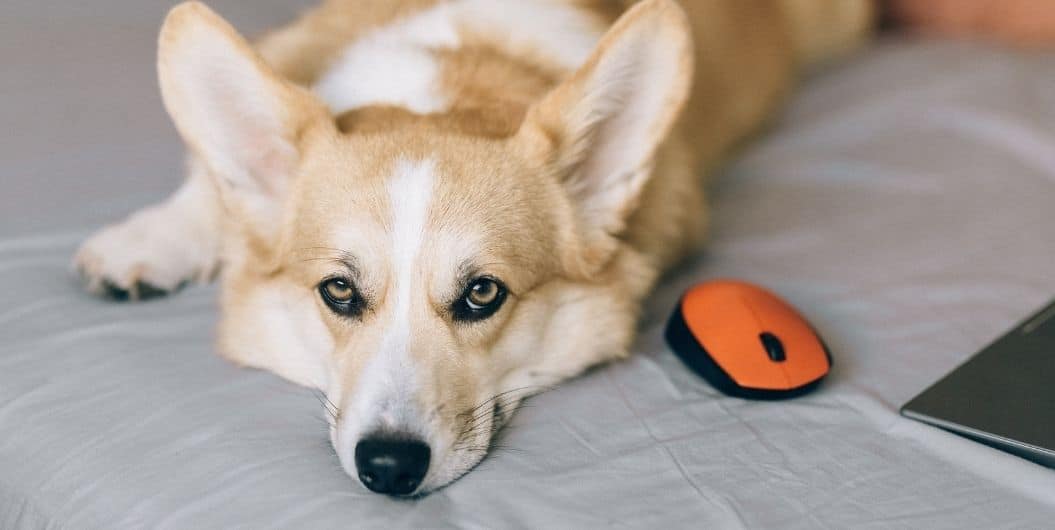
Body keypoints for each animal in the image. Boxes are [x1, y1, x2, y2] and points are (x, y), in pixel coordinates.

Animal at [74, 0, 873, 496]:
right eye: (339, 291)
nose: (388, 468)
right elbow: (207, 187)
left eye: (482, 293)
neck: (451, 77)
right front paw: (149, 239)